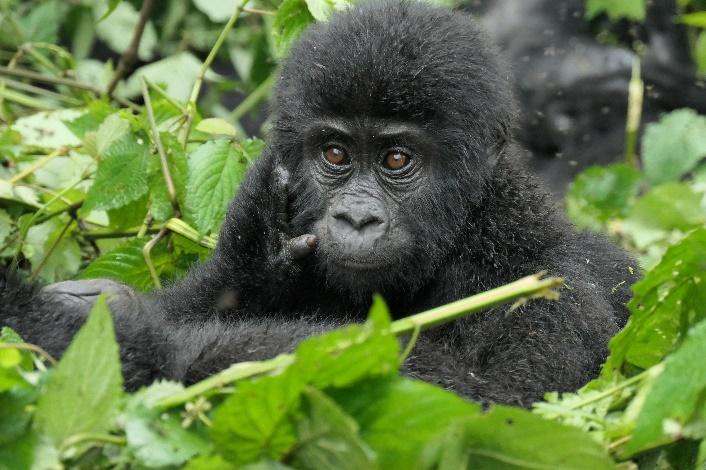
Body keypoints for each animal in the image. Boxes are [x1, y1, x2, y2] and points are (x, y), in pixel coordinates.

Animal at [0, 0, 636, 406]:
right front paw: (255, 258)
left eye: (397, 160)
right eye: (334, 154)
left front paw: (120, 335)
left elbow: (490, 404)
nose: (356, 216)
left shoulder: (552, 291)